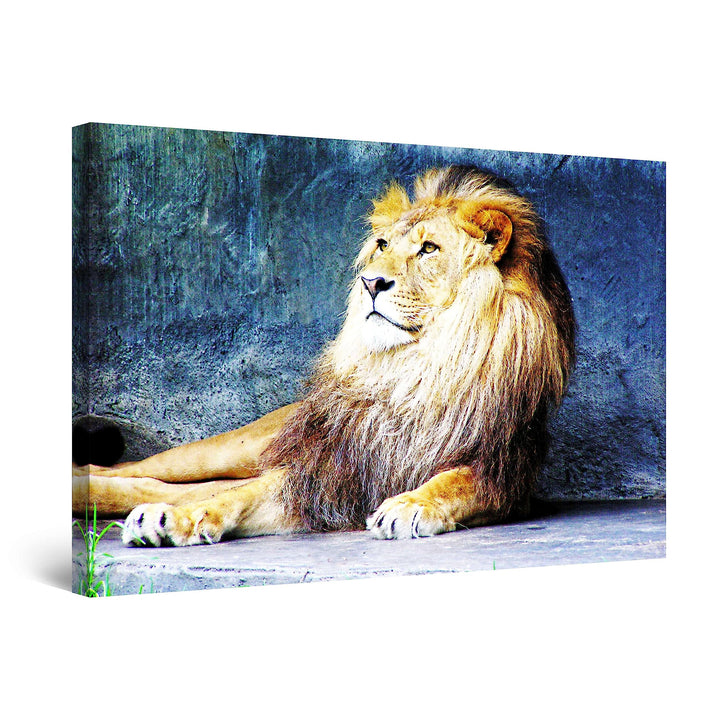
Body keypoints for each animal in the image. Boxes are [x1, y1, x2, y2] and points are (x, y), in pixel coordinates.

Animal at [73, 165, 576, 546]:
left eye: (429, 249)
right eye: (383, 246)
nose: (371, 282)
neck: (413, 368)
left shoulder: (503, 474)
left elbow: (451, 482)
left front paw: (409, 505)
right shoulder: (322, 469)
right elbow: (232, 499)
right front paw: (167, 522)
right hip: (241, 446)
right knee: (147, 472)